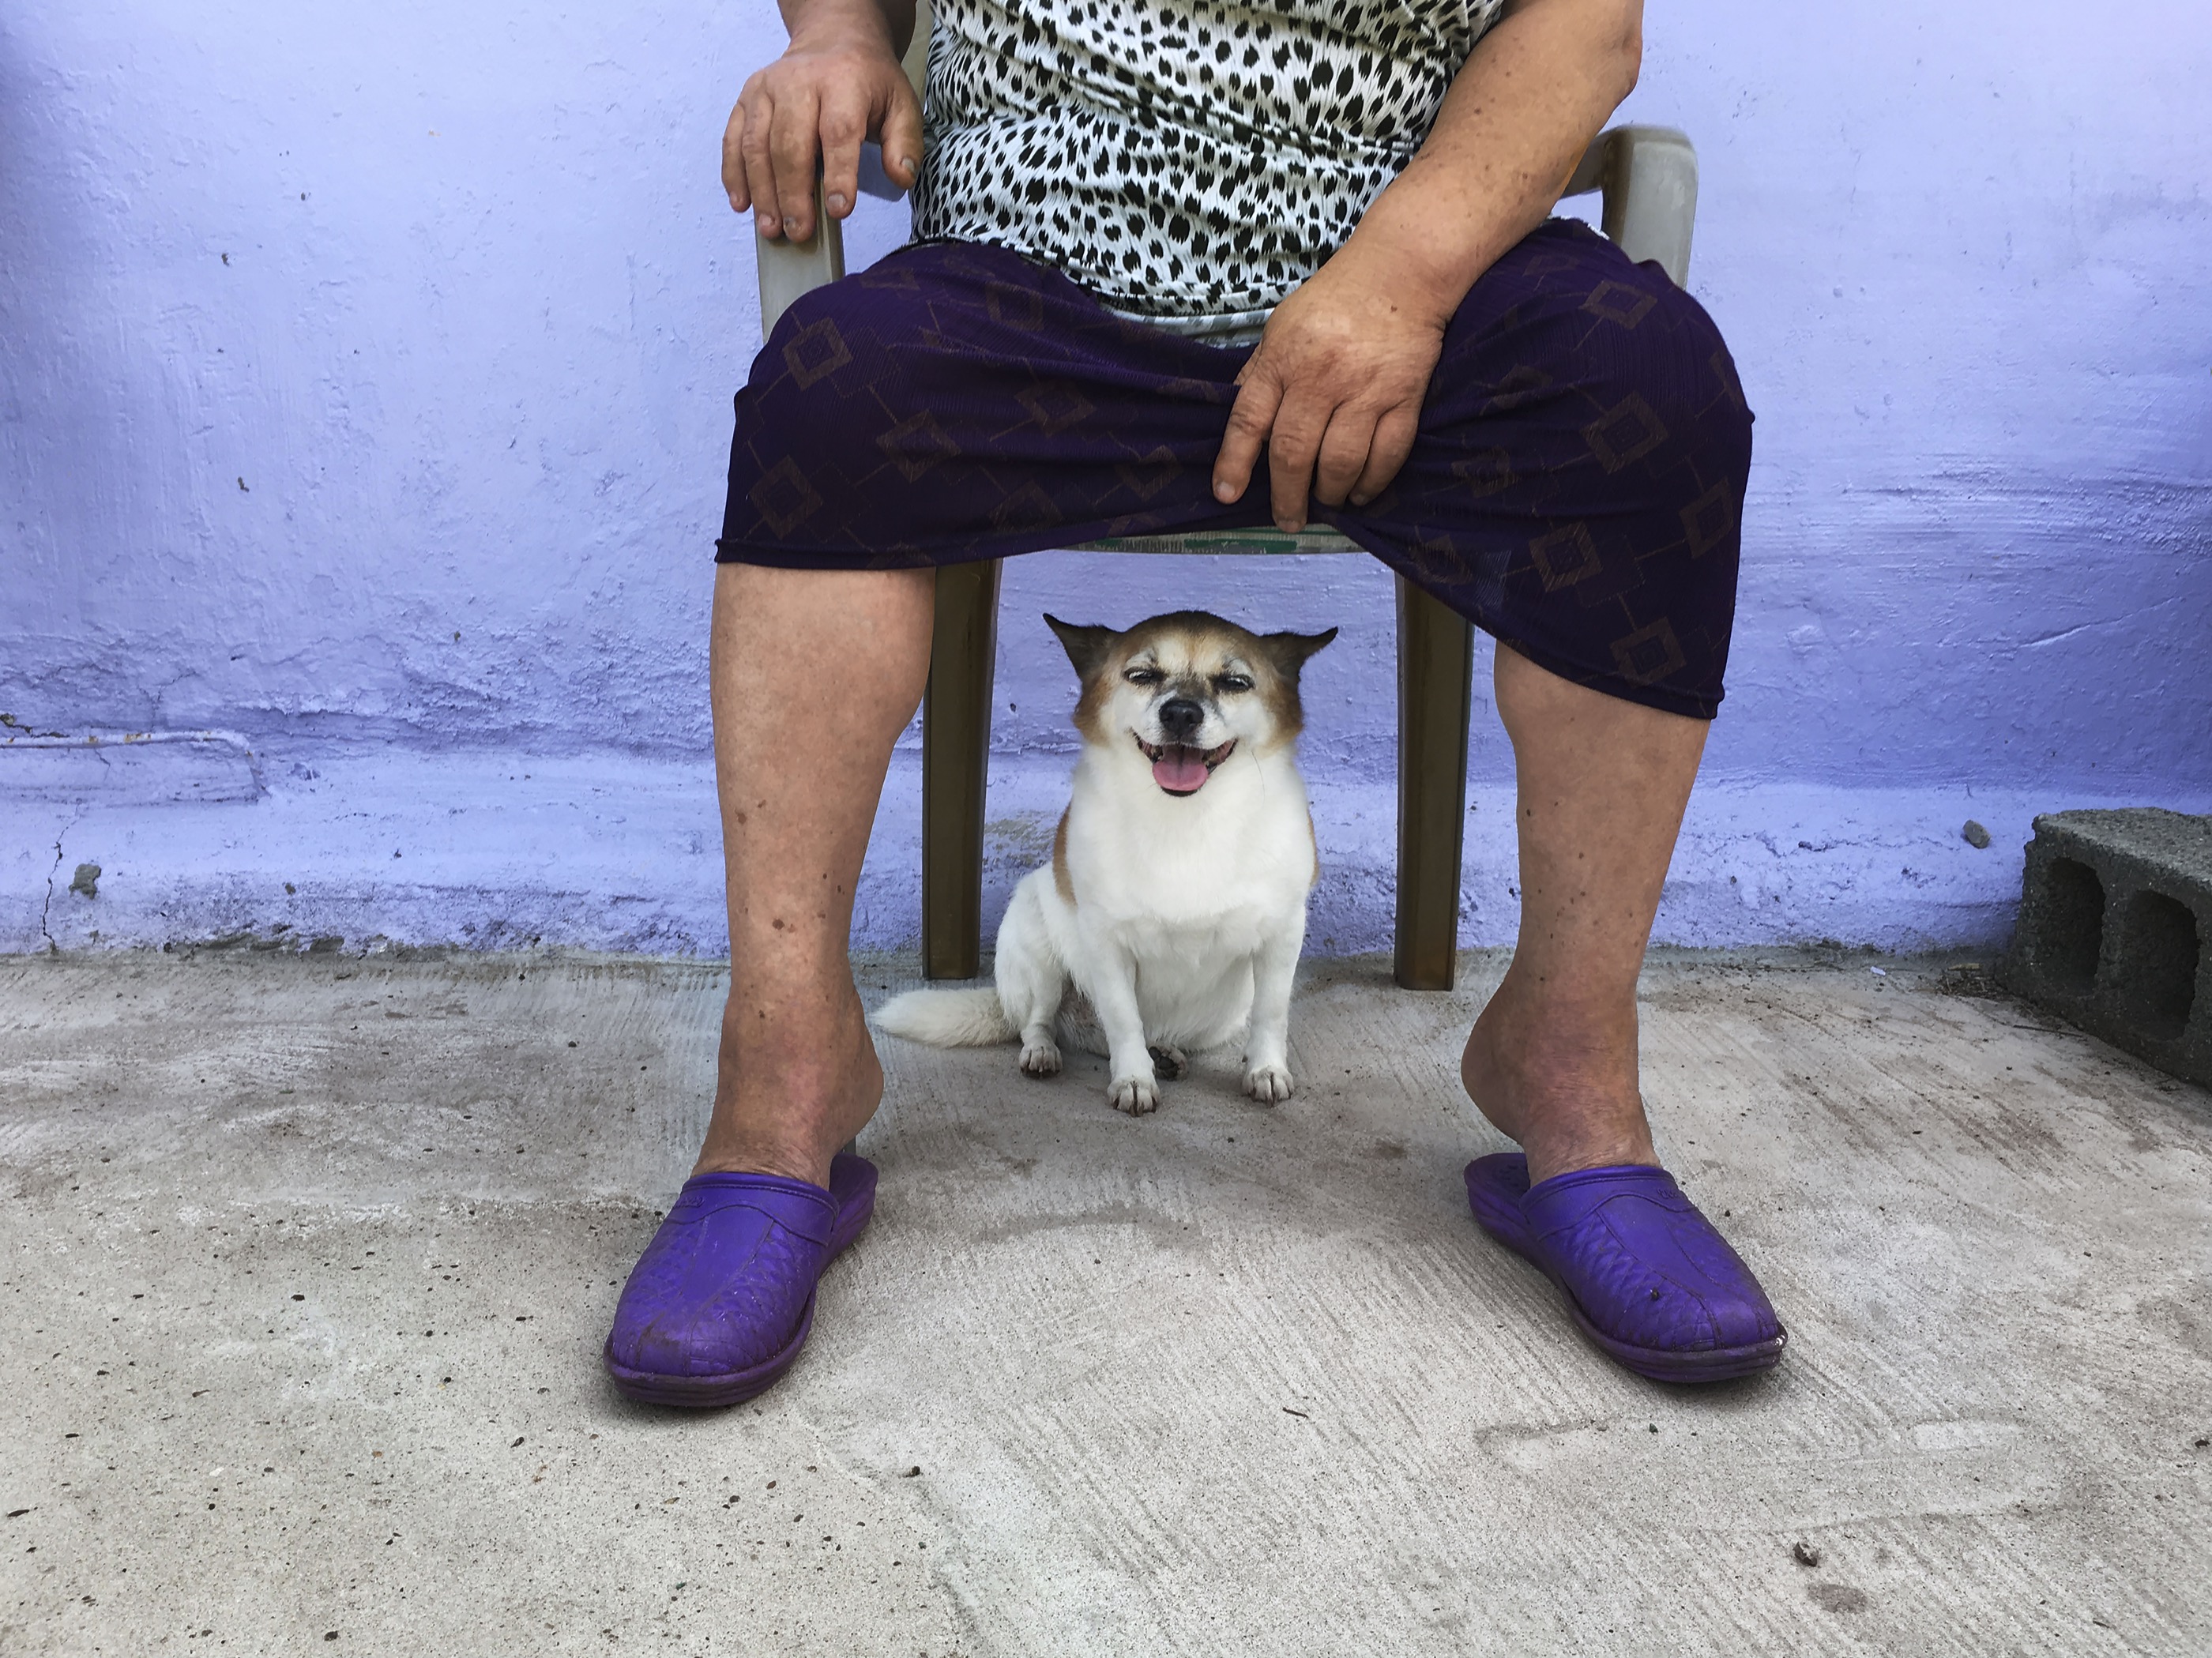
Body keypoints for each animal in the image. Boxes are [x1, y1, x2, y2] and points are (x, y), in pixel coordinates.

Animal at [874, 609, 1335, 1115]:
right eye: (1141, 676)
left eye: (1235, 682)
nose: (1180, 713)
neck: (1184, 818)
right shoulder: (1107, 944)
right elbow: (1122, 1017)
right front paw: (1133, 1079)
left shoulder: (1281, 937)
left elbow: (1271, 1014)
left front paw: (1266, 1070)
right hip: (1038, 950)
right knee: (1039, 1022)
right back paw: (1045, 1052)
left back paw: (1165, 1053)